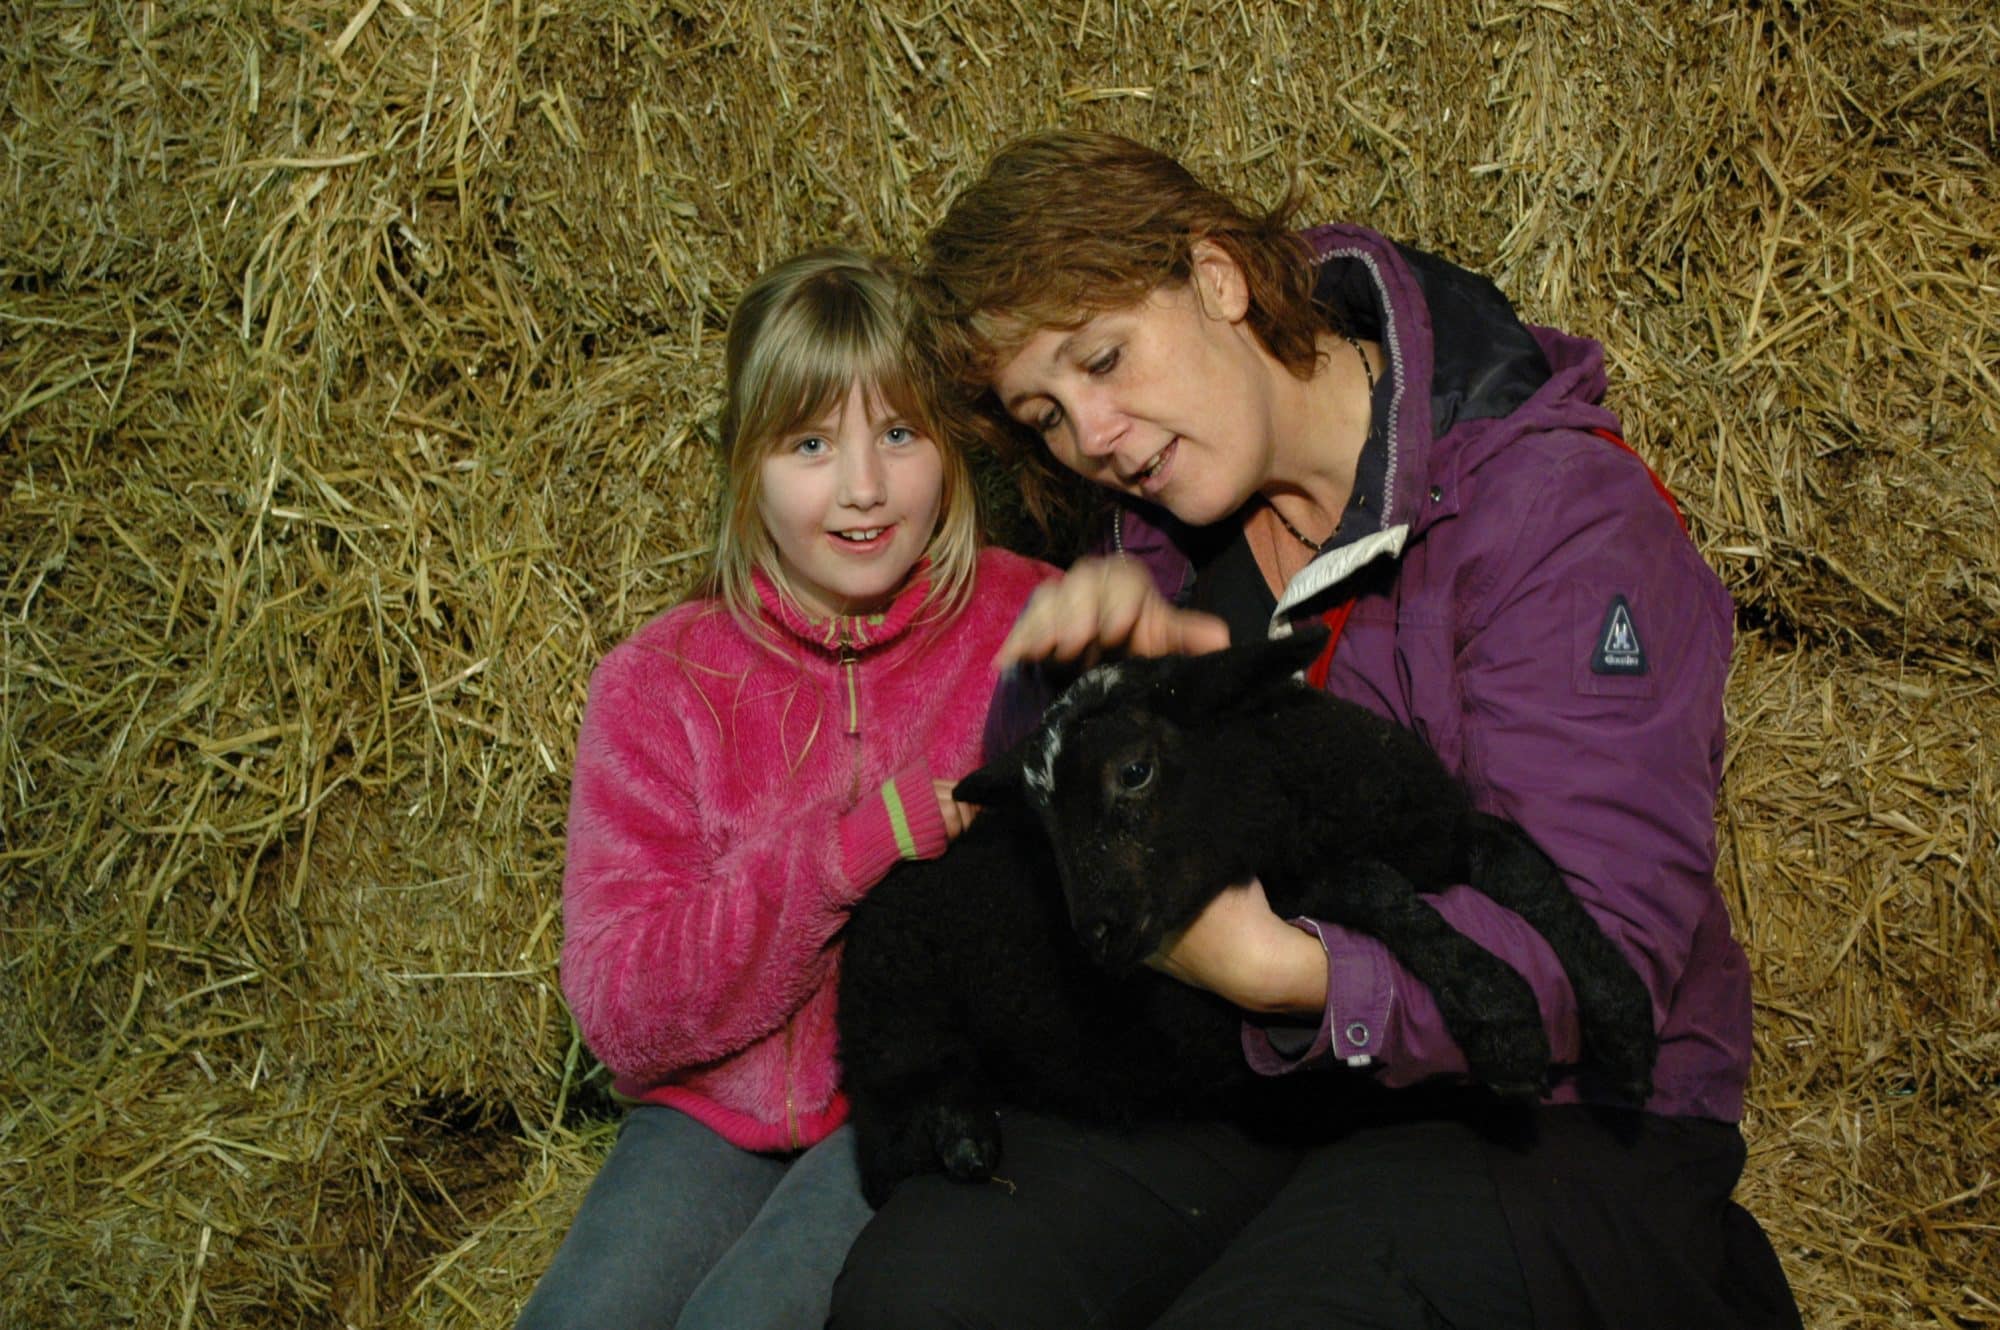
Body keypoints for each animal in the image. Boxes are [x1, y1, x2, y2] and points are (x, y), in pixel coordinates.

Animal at [837, 627, 1657, 1205]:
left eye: (1134, 770)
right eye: (1040, 820)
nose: (1093, 934)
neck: (1306, 805)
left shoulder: (1443, 832)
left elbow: (1529, 871)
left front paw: (1622, 1018)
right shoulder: (1304, 887)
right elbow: (1380, 892)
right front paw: (1500, 1015)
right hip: (892, 1015)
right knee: (886, 1129)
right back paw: (962, 1140)